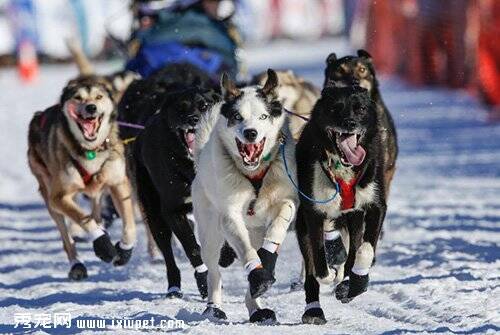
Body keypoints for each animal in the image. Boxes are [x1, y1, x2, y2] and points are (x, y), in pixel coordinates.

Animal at [296, 86, 386, 326]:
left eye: (361, 109)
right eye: (335, 108)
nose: (350, 123)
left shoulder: (375, 206)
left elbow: (365, 249)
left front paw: (354, 285)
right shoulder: (313, 213)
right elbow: (319, 259)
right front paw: (329, 274)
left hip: (354, 218)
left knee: (354, 249)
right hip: (302, 223)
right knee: (312, 271)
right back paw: (314, 310)